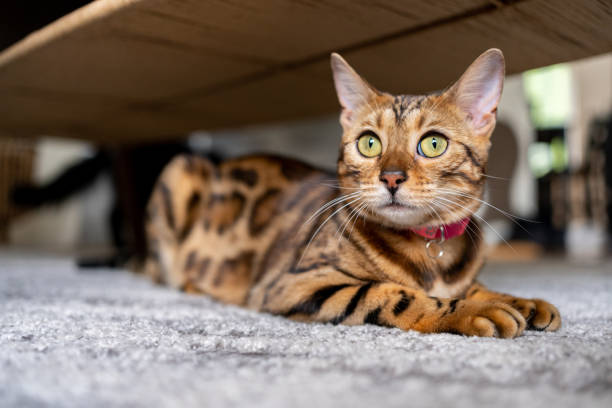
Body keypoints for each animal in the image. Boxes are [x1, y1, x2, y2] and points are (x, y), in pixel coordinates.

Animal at [142, 48, 560, 338]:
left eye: (434, 144)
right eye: (369, 143)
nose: (391, 177)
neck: (430, 252)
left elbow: (476, 286)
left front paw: (521, 301)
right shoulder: (293, 283)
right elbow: (392, 293)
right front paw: (470, 311)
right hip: (180, 170)